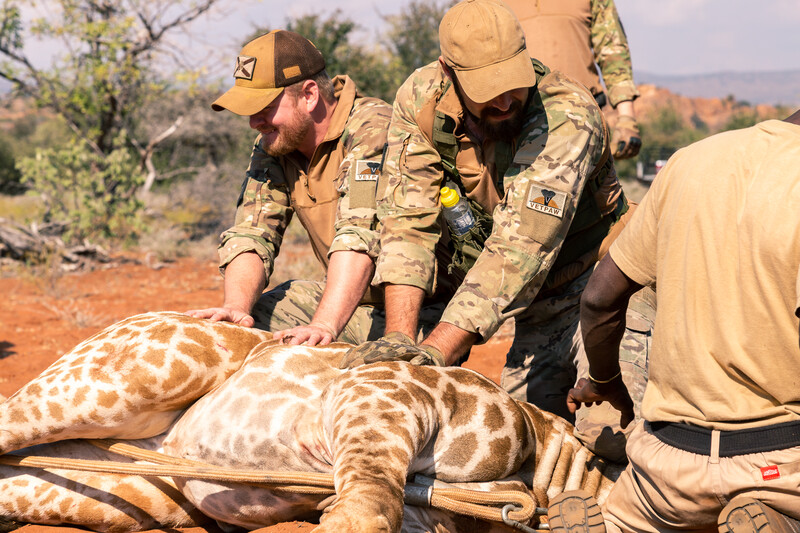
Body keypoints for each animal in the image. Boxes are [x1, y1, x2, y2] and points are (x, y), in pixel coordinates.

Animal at [0, 311, 621, 532]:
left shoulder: (429, 519)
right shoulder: (381, 394)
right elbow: (366, 506)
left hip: (127, 490)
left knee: (17, 476)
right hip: (126, 380)